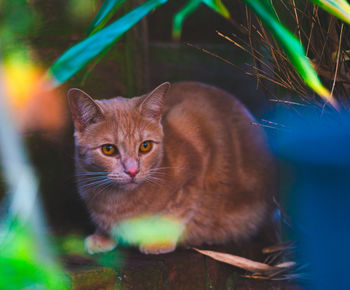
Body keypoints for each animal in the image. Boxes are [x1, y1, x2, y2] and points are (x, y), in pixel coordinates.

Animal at [67, 81, 276, 254]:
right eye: (109, 149)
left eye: (145, 146)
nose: (132, 171)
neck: (116, 201)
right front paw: (103, 235)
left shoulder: (196, 163)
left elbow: (179, 211)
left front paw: (159, 240)